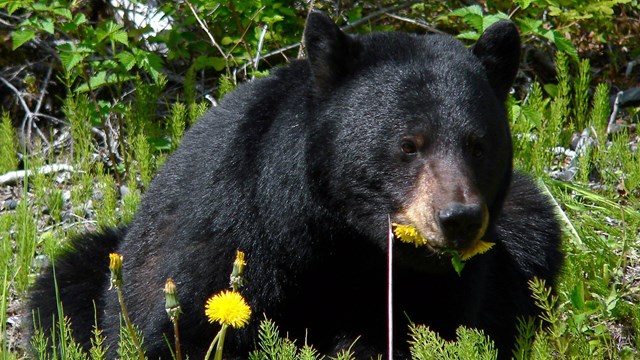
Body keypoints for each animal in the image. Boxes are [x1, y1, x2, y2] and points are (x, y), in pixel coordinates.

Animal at [28, 9, 560, 358]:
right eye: (409, 144)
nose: (458, 219)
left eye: (477, 145)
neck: (339, 239)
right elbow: (182, 328)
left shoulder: (442, 283)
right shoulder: (228, 235)